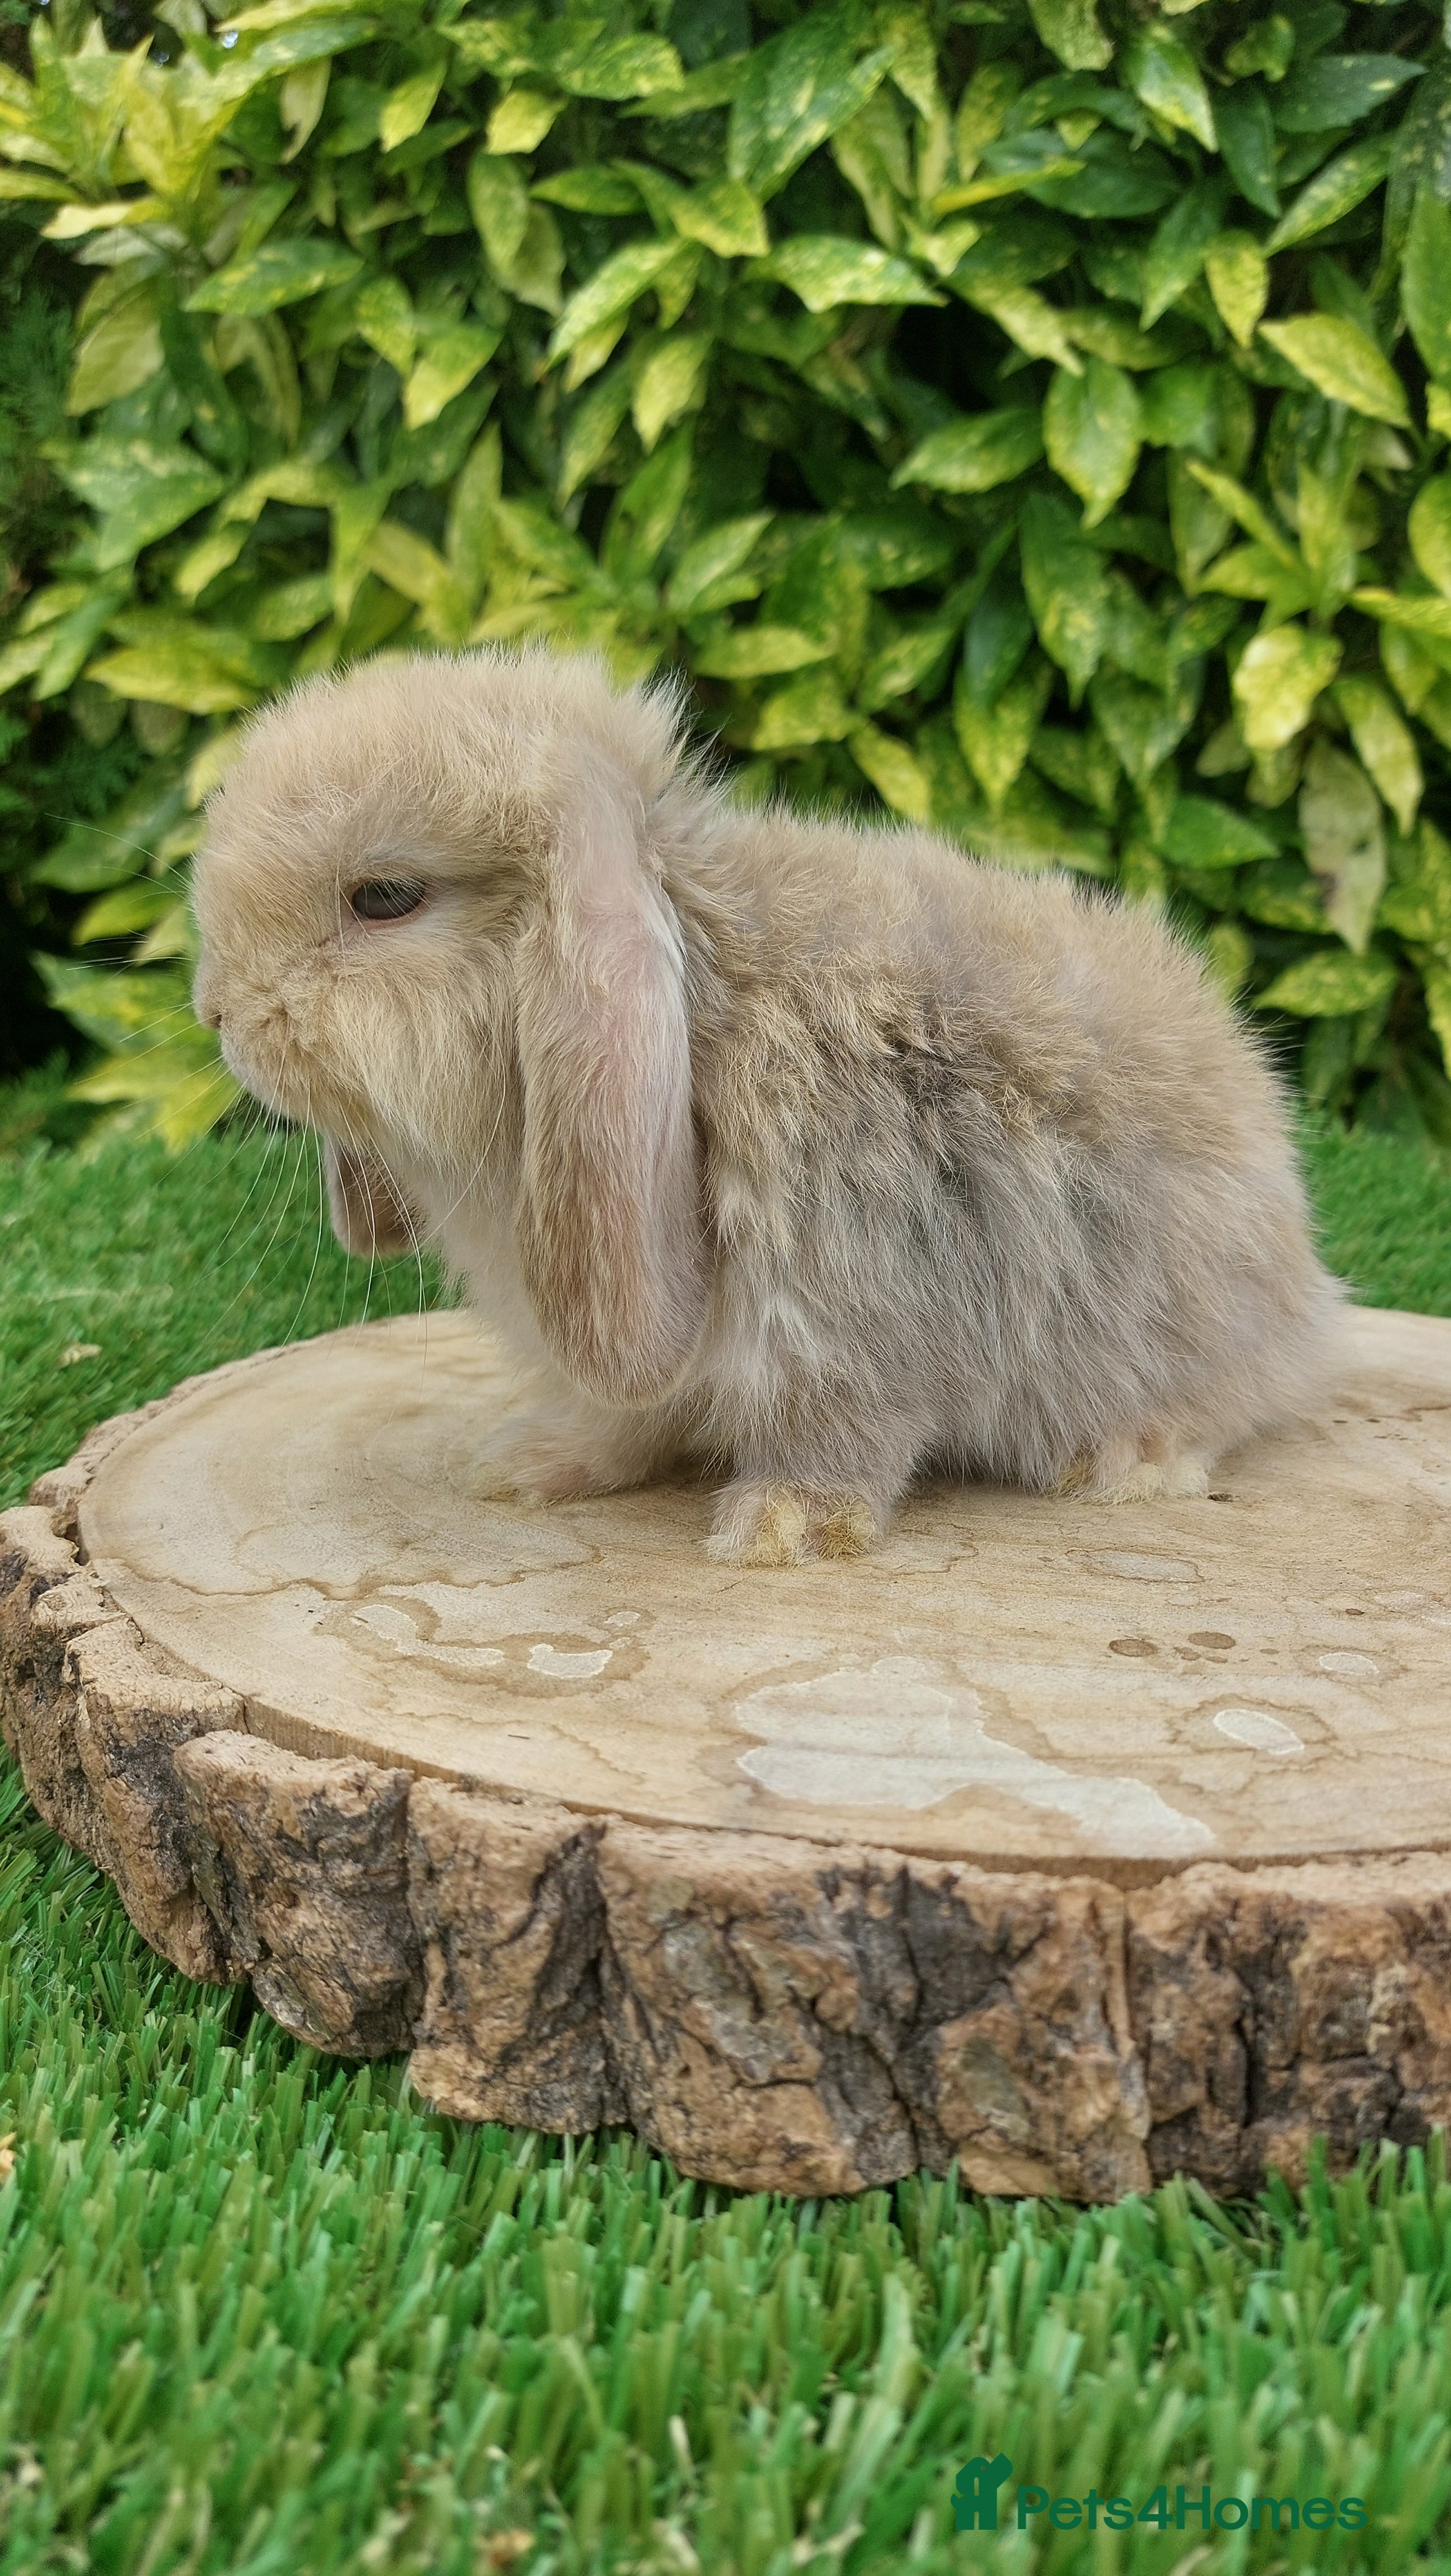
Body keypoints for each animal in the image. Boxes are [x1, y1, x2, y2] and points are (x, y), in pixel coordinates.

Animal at [192, 644, 1341, 1567]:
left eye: (384, 897)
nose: (217, 1013)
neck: (703, 1010)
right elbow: (624, 1418)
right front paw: (529, 1462)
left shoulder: (848, 1314)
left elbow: (844, 1434)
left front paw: (778, 1528)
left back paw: (1124, 1456)